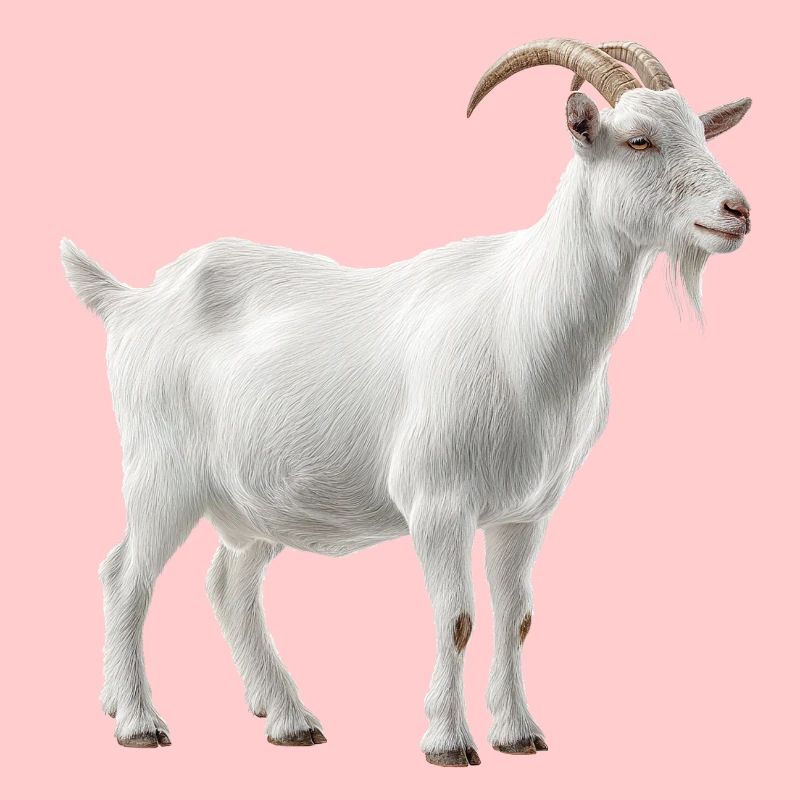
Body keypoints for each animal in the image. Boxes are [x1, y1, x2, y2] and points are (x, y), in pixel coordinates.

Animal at [63, 38, 751, 765]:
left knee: (229, 585)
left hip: (254, 501)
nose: (737, 211)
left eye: (702, 132)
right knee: (125, 576)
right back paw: (138, 720)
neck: (522, 321)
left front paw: (518, 732)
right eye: (638, 139)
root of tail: (130, 301)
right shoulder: (438, 502)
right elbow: (457, 618)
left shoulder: (524, 513)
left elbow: (517, 617)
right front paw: (448, 741)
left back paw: (287, 718)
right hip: (161, 471)